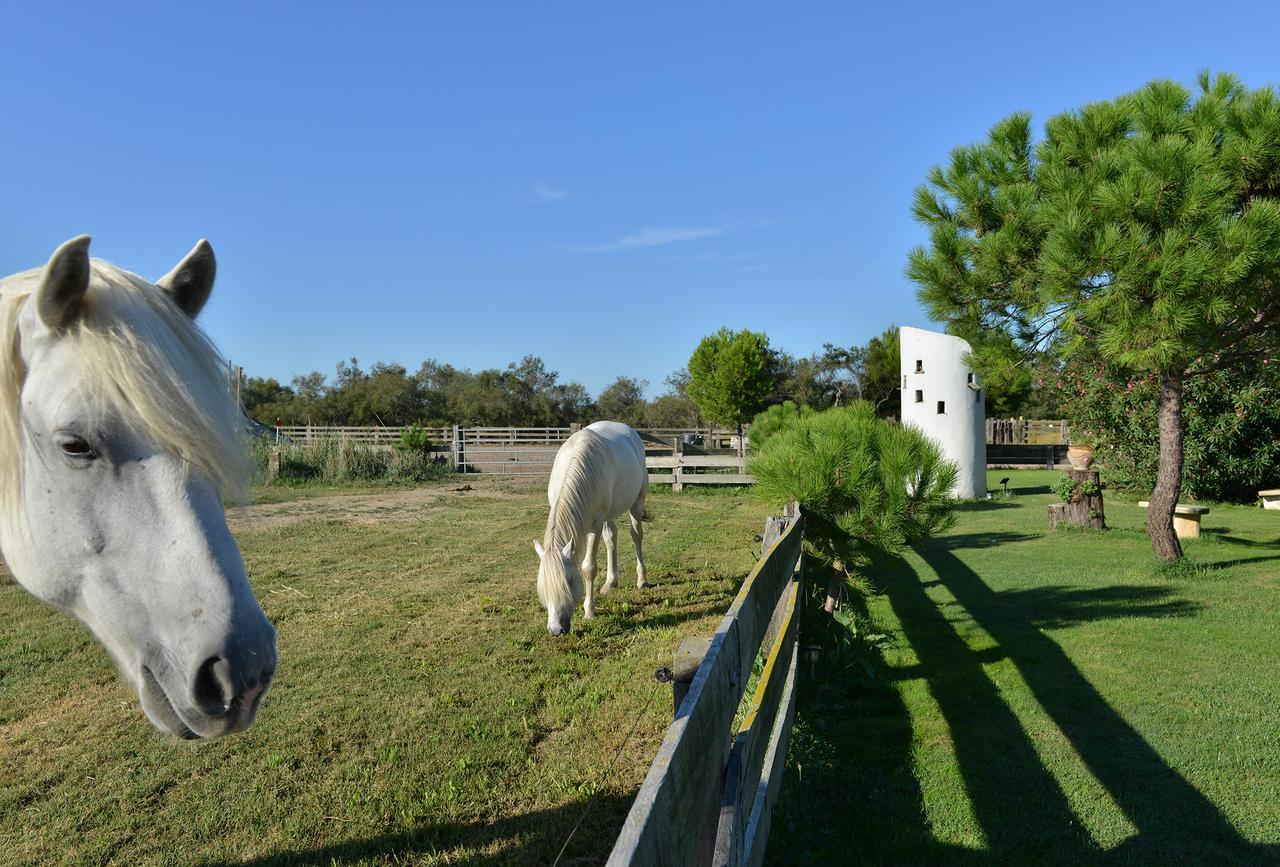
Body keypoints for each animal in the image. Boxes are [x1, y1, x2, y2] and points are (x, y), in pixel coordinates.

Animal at [532, 420, 650, 635]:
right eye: (542, 587)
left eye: (569, 582)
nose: (556, 629)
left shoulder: (595, 523)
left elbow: (588, 567)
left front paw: (589, 611)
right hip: (609, 514)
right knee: (612, 538)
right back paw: (611, 582)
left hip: (636, 503)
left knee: (636, 536)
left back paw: (642, 580)